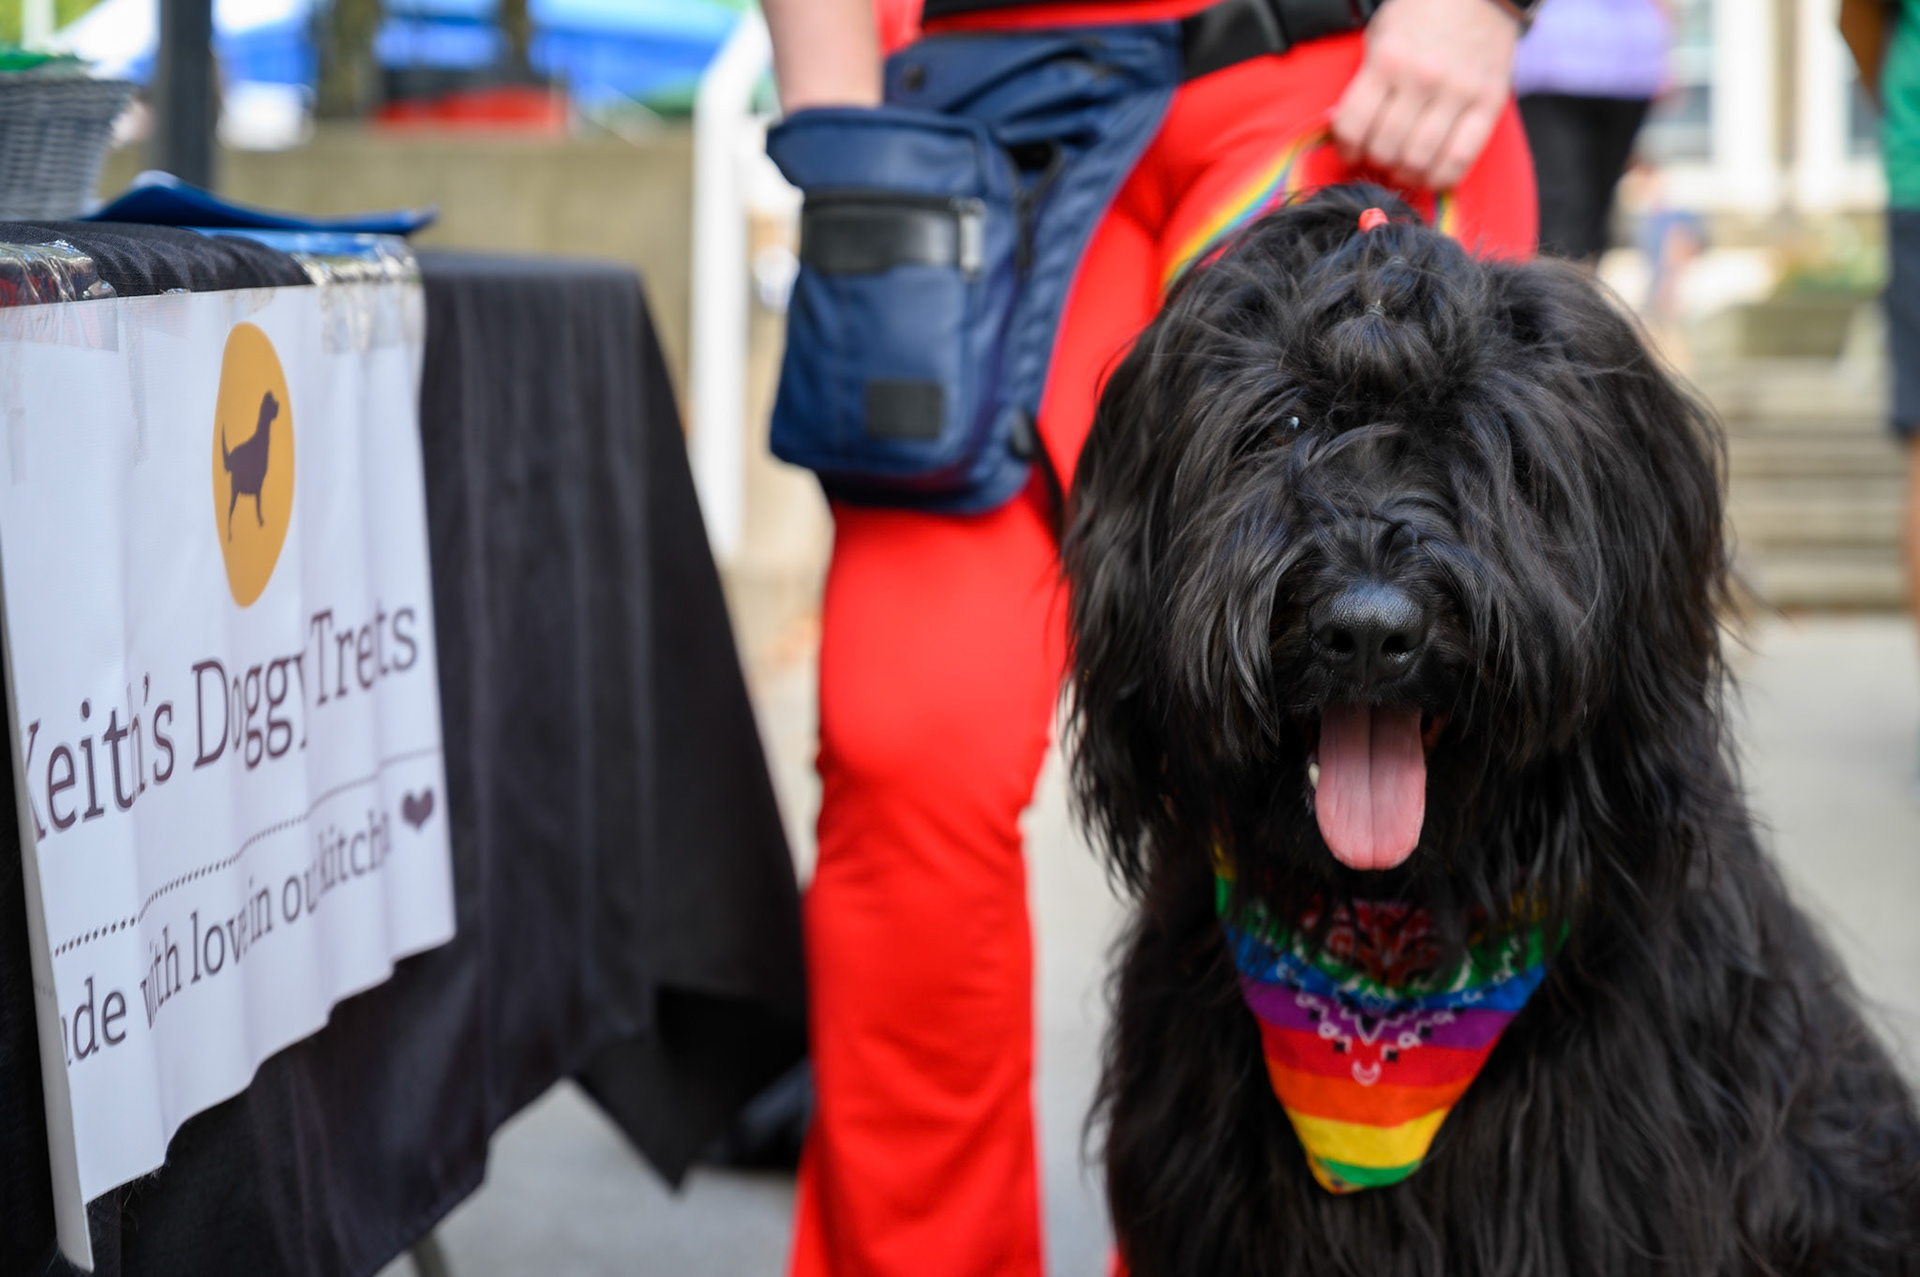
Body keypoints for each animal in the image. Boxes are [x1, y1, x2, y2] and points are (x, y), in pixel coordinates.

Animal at [224, 389, 279, 540]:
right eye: (273, 405)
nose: (278, 407)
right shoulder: (259, 482)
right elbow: (258, 503)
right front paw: (261, 522)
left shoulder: (258, 483)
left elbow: (258, 502)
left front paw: (261, 521)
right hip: (235, 486)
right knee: (230, 510)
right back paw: (230, 536)